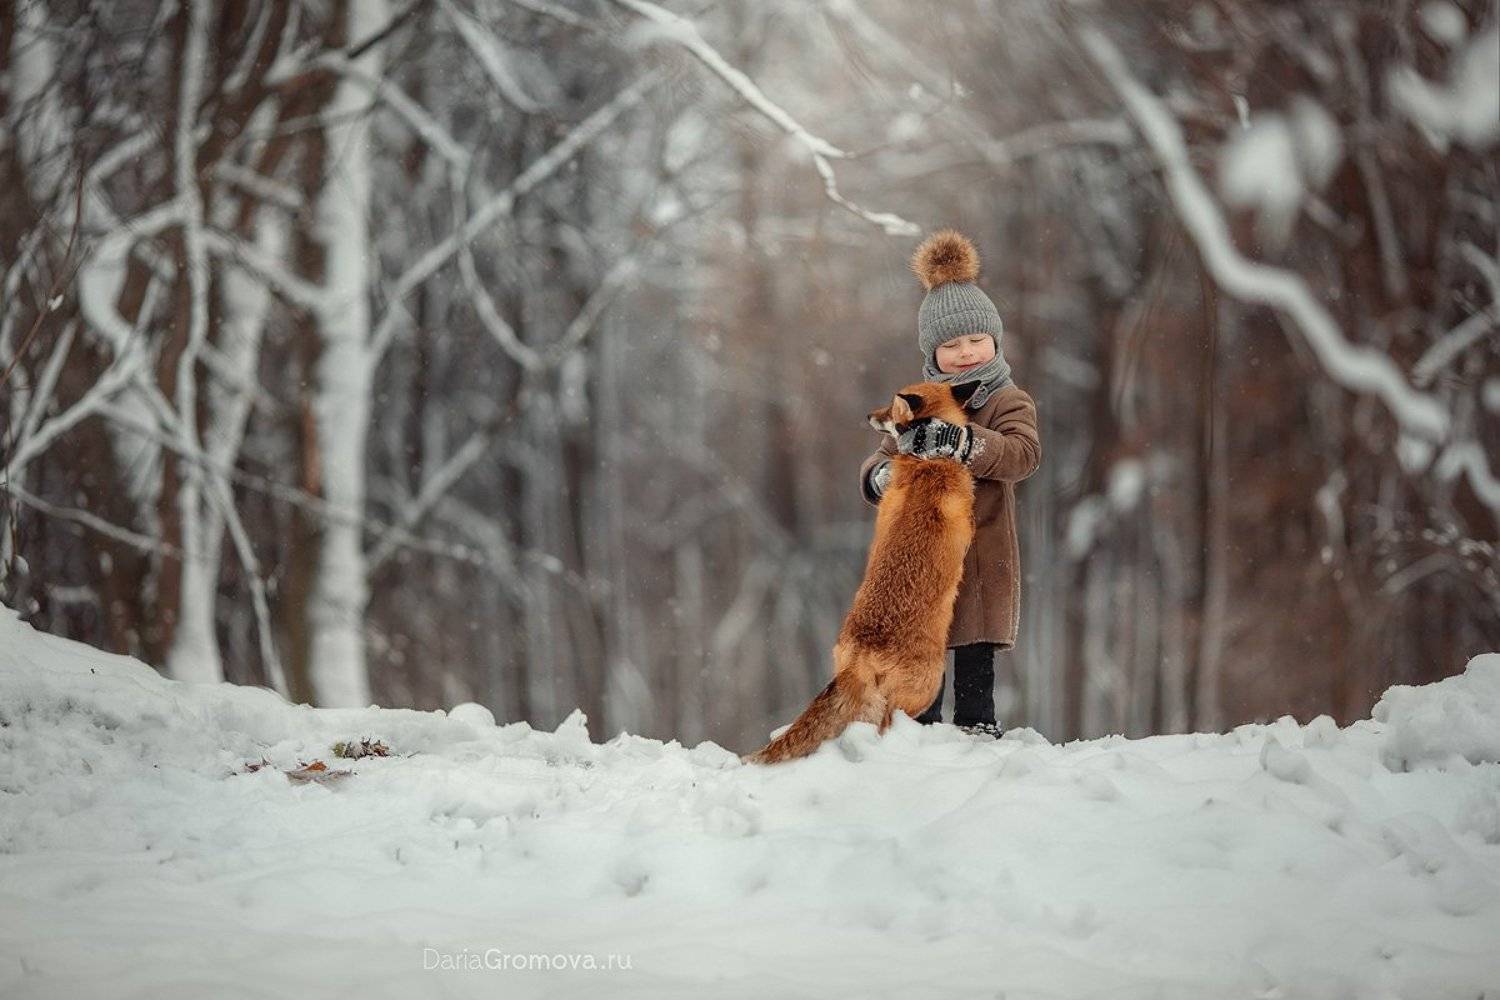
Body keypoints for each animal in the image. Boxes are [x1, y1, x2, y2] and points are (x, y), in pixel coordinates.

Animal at [745, 380, 979, 764]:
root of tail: (864, 652)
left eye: (887, 409)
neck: (927, 461)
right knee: (887, 723)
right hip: (925, 688)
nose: (868, 416)